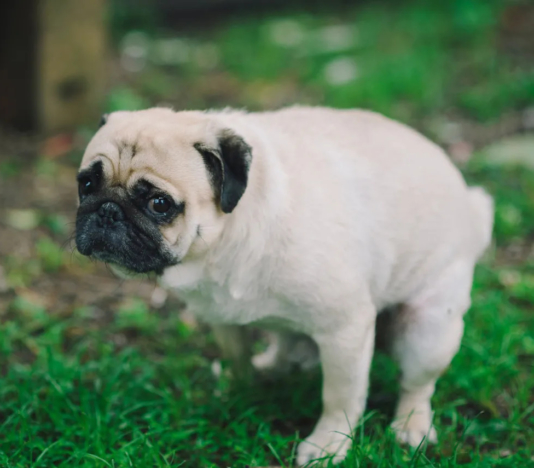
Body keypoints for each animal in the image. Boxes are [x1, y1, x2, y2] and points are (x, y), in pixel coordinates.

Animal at [74, 108, 494, 466]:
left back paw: (410, 426)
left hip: (428, 331)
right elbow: (237, 357)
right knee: (286, 344)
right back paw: (272, 366)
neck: (225, 242)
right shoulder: (222, 319)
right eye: (86, 184)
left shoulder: (345, 329)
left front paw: (328, 444)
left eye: (160, 204)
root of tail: (471, 210)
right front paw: (239, 390)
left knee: (417, 386)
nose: (107, 210)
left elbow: (340, 396)